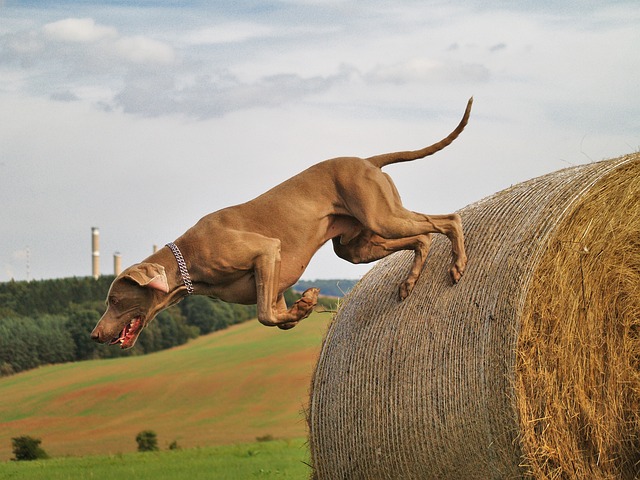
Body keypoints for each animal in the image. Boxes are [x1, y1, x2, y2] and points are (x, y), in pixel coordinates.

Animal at [91, 99, 470, 350]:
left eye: (115, 300)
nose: (94, 334)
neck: (189, 258)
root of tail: (367, 161)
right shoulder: (273, 286)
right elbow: (277, 318)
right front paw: (304, 308)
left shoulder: (266, 253)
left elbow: (263, 316)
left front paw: (307, 303)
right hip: (355, 246)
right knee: (422, 238)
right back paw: (409, 282)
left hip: (382, 218)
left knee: (448, 220)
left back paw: (458, 265)